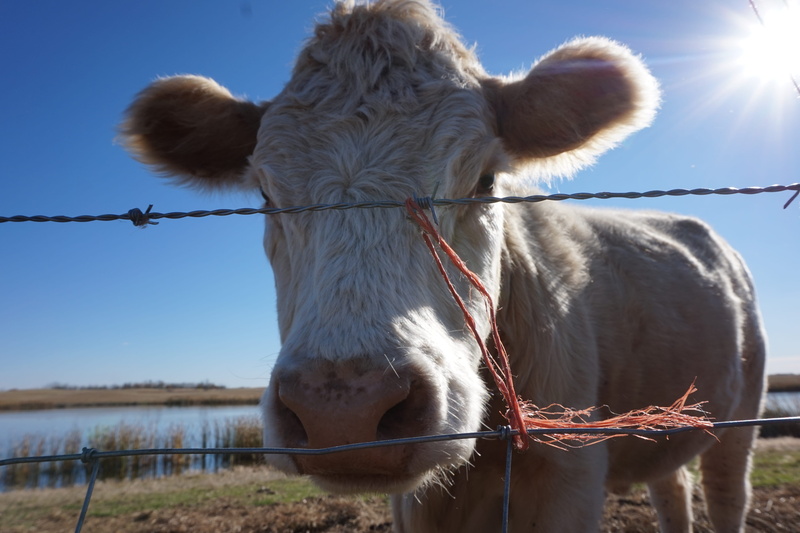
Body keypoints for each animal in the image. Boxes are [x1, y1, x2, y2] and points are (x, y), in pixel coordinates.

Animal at [121, 1, 766, 531]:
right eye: (266, 195)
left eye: (485, 180)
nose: (343, 409)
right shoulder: (418, 506)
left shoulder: (569, 481)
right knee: (672, 490)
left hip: (741, 420)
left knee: (726, 494)